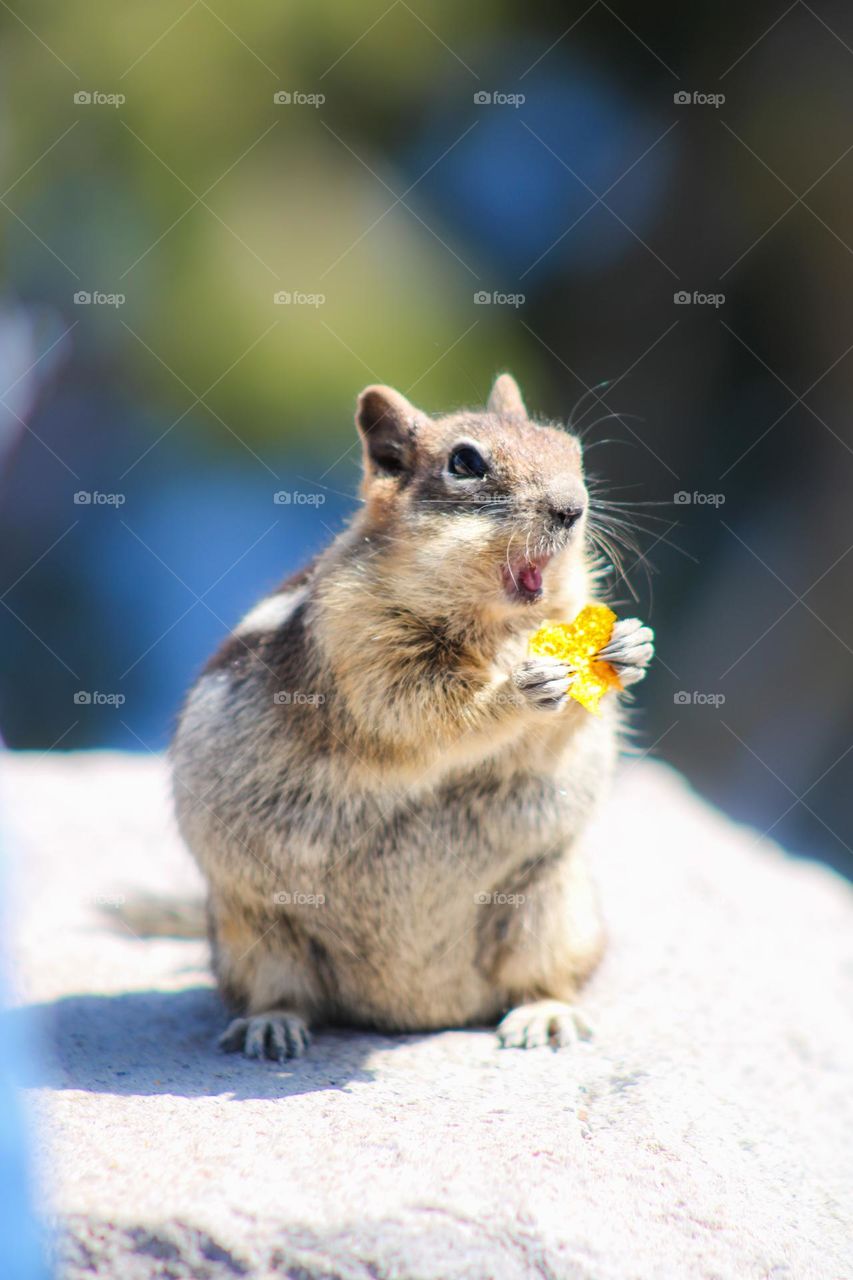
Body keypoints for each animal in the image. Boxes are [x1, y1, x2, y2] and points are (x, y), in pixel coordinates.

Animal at [170, 374, 654, 1060]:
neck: (499, 632)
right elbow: (425, 714)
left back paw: (544, 1013)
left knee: (541, 977)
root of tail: (415, 1012)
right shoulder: (363, 647)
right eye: (465, 463)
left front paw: (630, 647)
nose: (572, 508)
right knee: (276, 991)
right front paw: (518, 690)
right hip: (252, 931)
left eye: (571, 448)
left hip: (553, 907)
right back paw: (272, 1025)